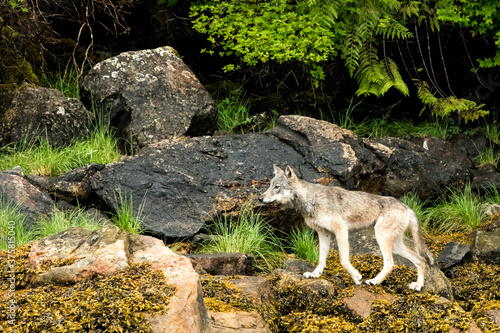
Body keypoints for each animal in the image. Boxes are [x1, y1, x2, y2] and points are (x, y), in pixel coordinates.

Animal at [258, 165, 434, 290]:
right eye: (270, 185)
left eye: (277, 187)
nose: (260, 198)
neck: (311, 200)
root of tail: (407, 207)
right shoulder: (323, 233)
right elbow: (321, 259)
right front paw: (315, 274)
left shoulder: (341, 230)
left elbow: (343, 260)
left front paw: (356, 277)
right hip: (395, 245)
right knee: (420, 260)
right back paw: (418, 286)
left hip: (381, 238)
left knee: (390, 264)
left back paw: (374, 281)